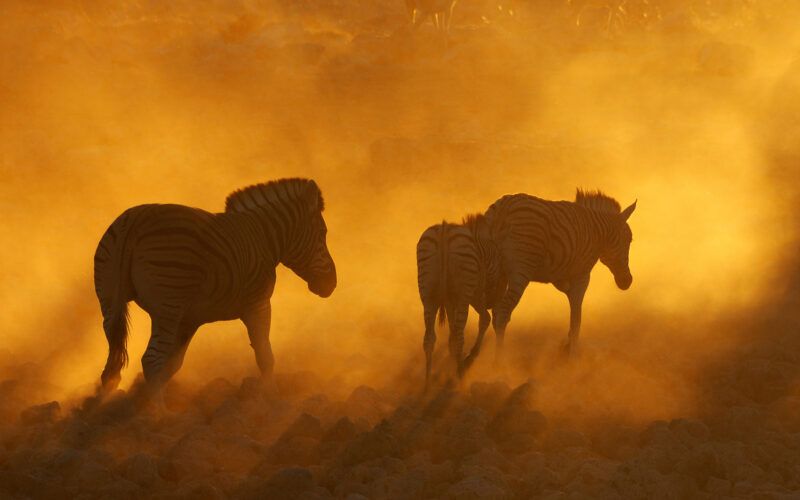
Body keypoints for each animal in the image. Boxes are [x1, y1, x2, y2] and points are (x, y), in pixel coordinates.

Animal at [93, 178, 336, 402]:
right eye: (323, 233)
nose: (332, 284)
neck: (263, 239)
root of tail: (136, 220)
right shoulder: (258, 303)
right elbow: (265, 356)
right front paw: (272, 399)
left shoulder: (189, 319)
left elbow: (173, 365)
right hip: (168, 305)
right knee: (151, 360)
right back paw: (156, 415)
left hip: (110, 303)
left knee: (112, 367)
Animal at [416, 213, 506, 388]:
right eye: (499, 260)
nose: (495, 298)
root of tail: (444, 230)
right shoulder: (473, 294)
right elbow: (484, 319)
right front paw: (465, 362)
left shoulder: (451, 302)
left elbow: (451, 335)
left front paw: (453, 365)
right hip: (464, 293)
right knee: (459, 336)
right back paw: (460, 378)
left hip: (427, 295)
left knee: (429, 339)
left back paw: (427, 384)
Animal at [484, 189, 636, 357]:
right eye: (629, 240)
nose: (627, 281)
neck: (598, 233)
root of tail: (504, 208)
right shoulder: (581, 275)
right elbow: (576, 319)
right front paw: (573, 357)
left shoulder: (561, 277)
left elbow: (573, 317)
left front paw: (566, 348)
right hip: (521, 269)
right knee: (503, 312)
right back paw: (500, 359)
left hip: (496, 272)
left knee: (494, 313)